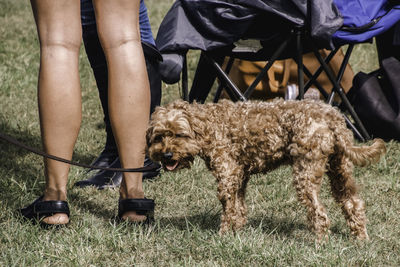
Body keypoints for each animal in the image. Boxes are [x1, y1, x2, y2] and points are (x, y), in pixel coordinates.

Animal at [146, 99, 384, 241]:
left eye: (179, 134)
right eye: (159, 137)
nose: (167, 155)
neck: (208, 125)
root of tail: (333, 117)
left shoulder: (227, 174)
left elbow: (228, 209)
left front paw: (223, 235)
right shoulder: (240, 176)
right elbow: (239, 208)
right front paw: (237, 232)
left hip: (306, 172)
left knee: (320, 212)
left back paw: (319, 243)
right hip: (340, 169)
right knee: (353, 203)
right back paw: (360, 238)